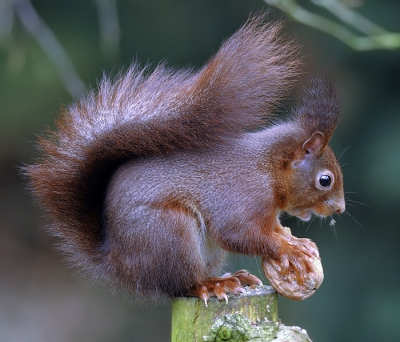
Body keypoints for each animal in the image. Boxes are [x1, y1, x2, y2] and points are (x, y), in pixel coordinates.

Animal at [25, 16, 344, 304]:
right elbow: (239, 233)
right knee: (180, 284)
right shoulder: (243, 195)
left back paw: (233, 278)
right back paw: (212, 285)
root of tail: (119, 263)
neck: (269, 168)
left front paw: (296, 241)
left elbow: (270, 229)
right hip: (171, 233)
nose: (339, 209)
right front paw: (288, 249)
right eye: (324, 180)